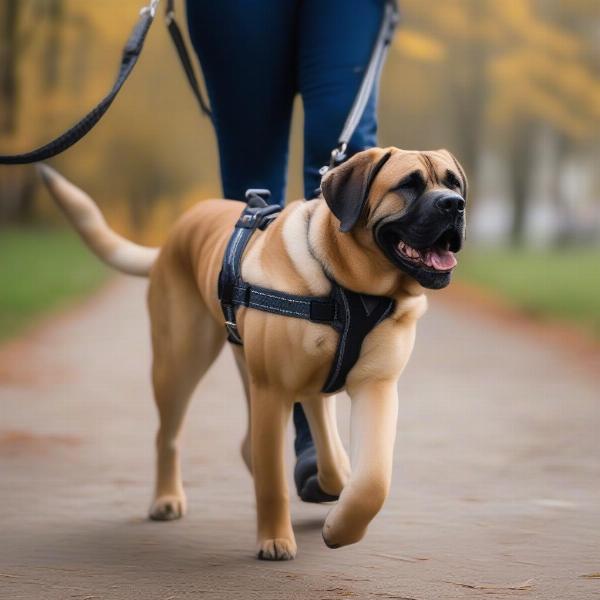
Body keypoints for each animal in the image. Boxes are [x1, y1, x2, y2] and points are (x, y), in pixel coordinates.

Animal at [38, 148, 468, 560]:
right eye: (408, 184)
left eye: (453, 183)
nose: (455, 205)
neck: (349, 284)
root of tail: (177, 231)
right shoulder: (272, 390)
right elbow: (273, 481)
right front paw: (276, 540)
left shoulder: (376, 385)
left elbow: (374, 482)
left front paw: (339, 528)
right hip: (180, 362)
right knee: (170, 435)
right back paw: (167, 498)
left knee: (306, 432)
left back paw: (332, 477)